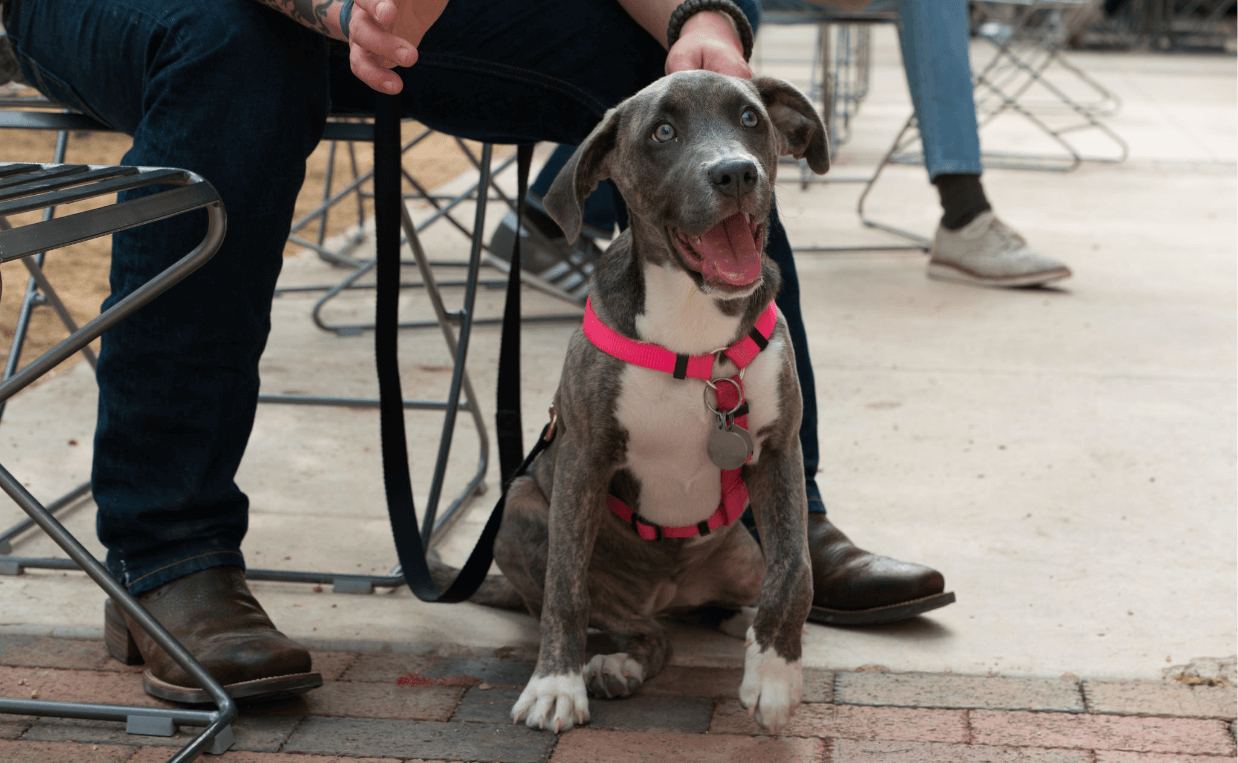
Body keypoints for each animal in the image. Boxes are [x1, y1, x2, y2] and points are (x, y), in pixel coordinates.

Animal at [477, 71, 826, 733]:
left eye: (750, 118)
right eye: (663, 132)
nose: (736, 173)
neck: (695, 325)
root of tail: (664, 594)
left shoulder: (778, 451)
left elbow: (796, 569)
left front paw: (774, 672)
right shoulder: (584, 455)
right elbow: (565, 588)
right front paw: (555, 686)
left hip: (740, 553)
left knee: (714, 604)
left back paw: (734, 627)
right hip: (520, 511)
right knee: (628, 624)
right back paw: (618, 663)